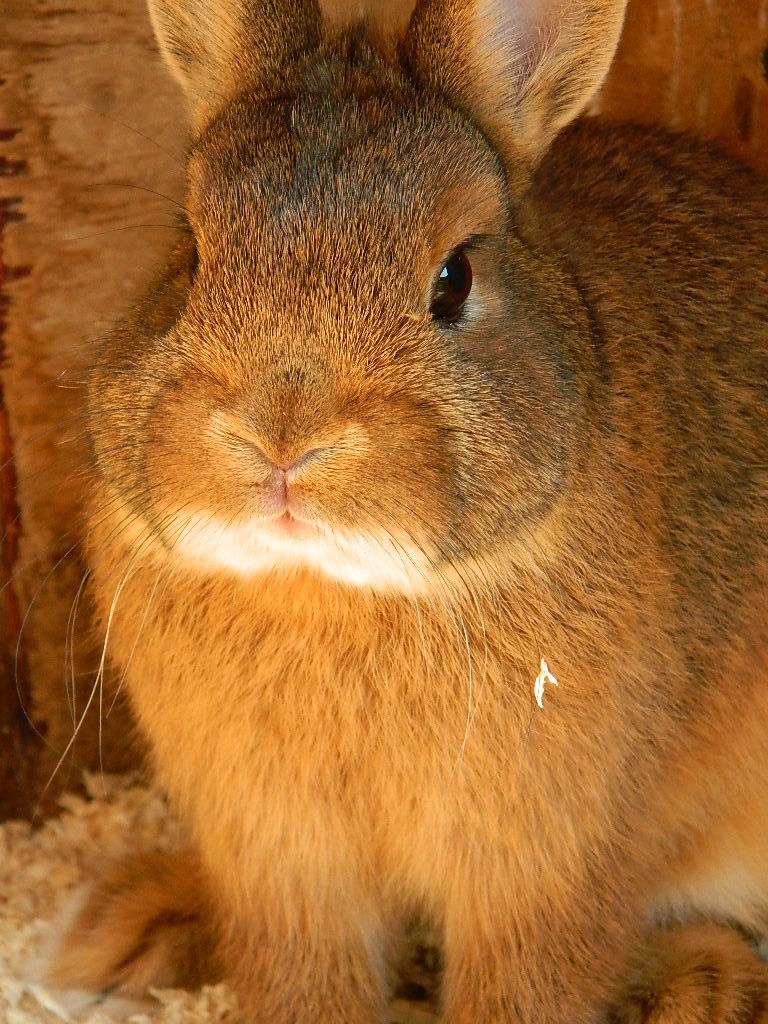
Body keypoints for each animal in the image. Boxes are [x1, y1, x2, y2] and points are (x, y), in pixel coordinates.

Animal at [47, 0, 768, 1021]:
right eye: (190, 252)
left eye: (454, 280)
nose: (280, 441)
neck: (328, 590)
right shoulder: (281, 862)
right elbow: (307, 973)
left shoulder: (541, 866)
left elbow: (525, 984)